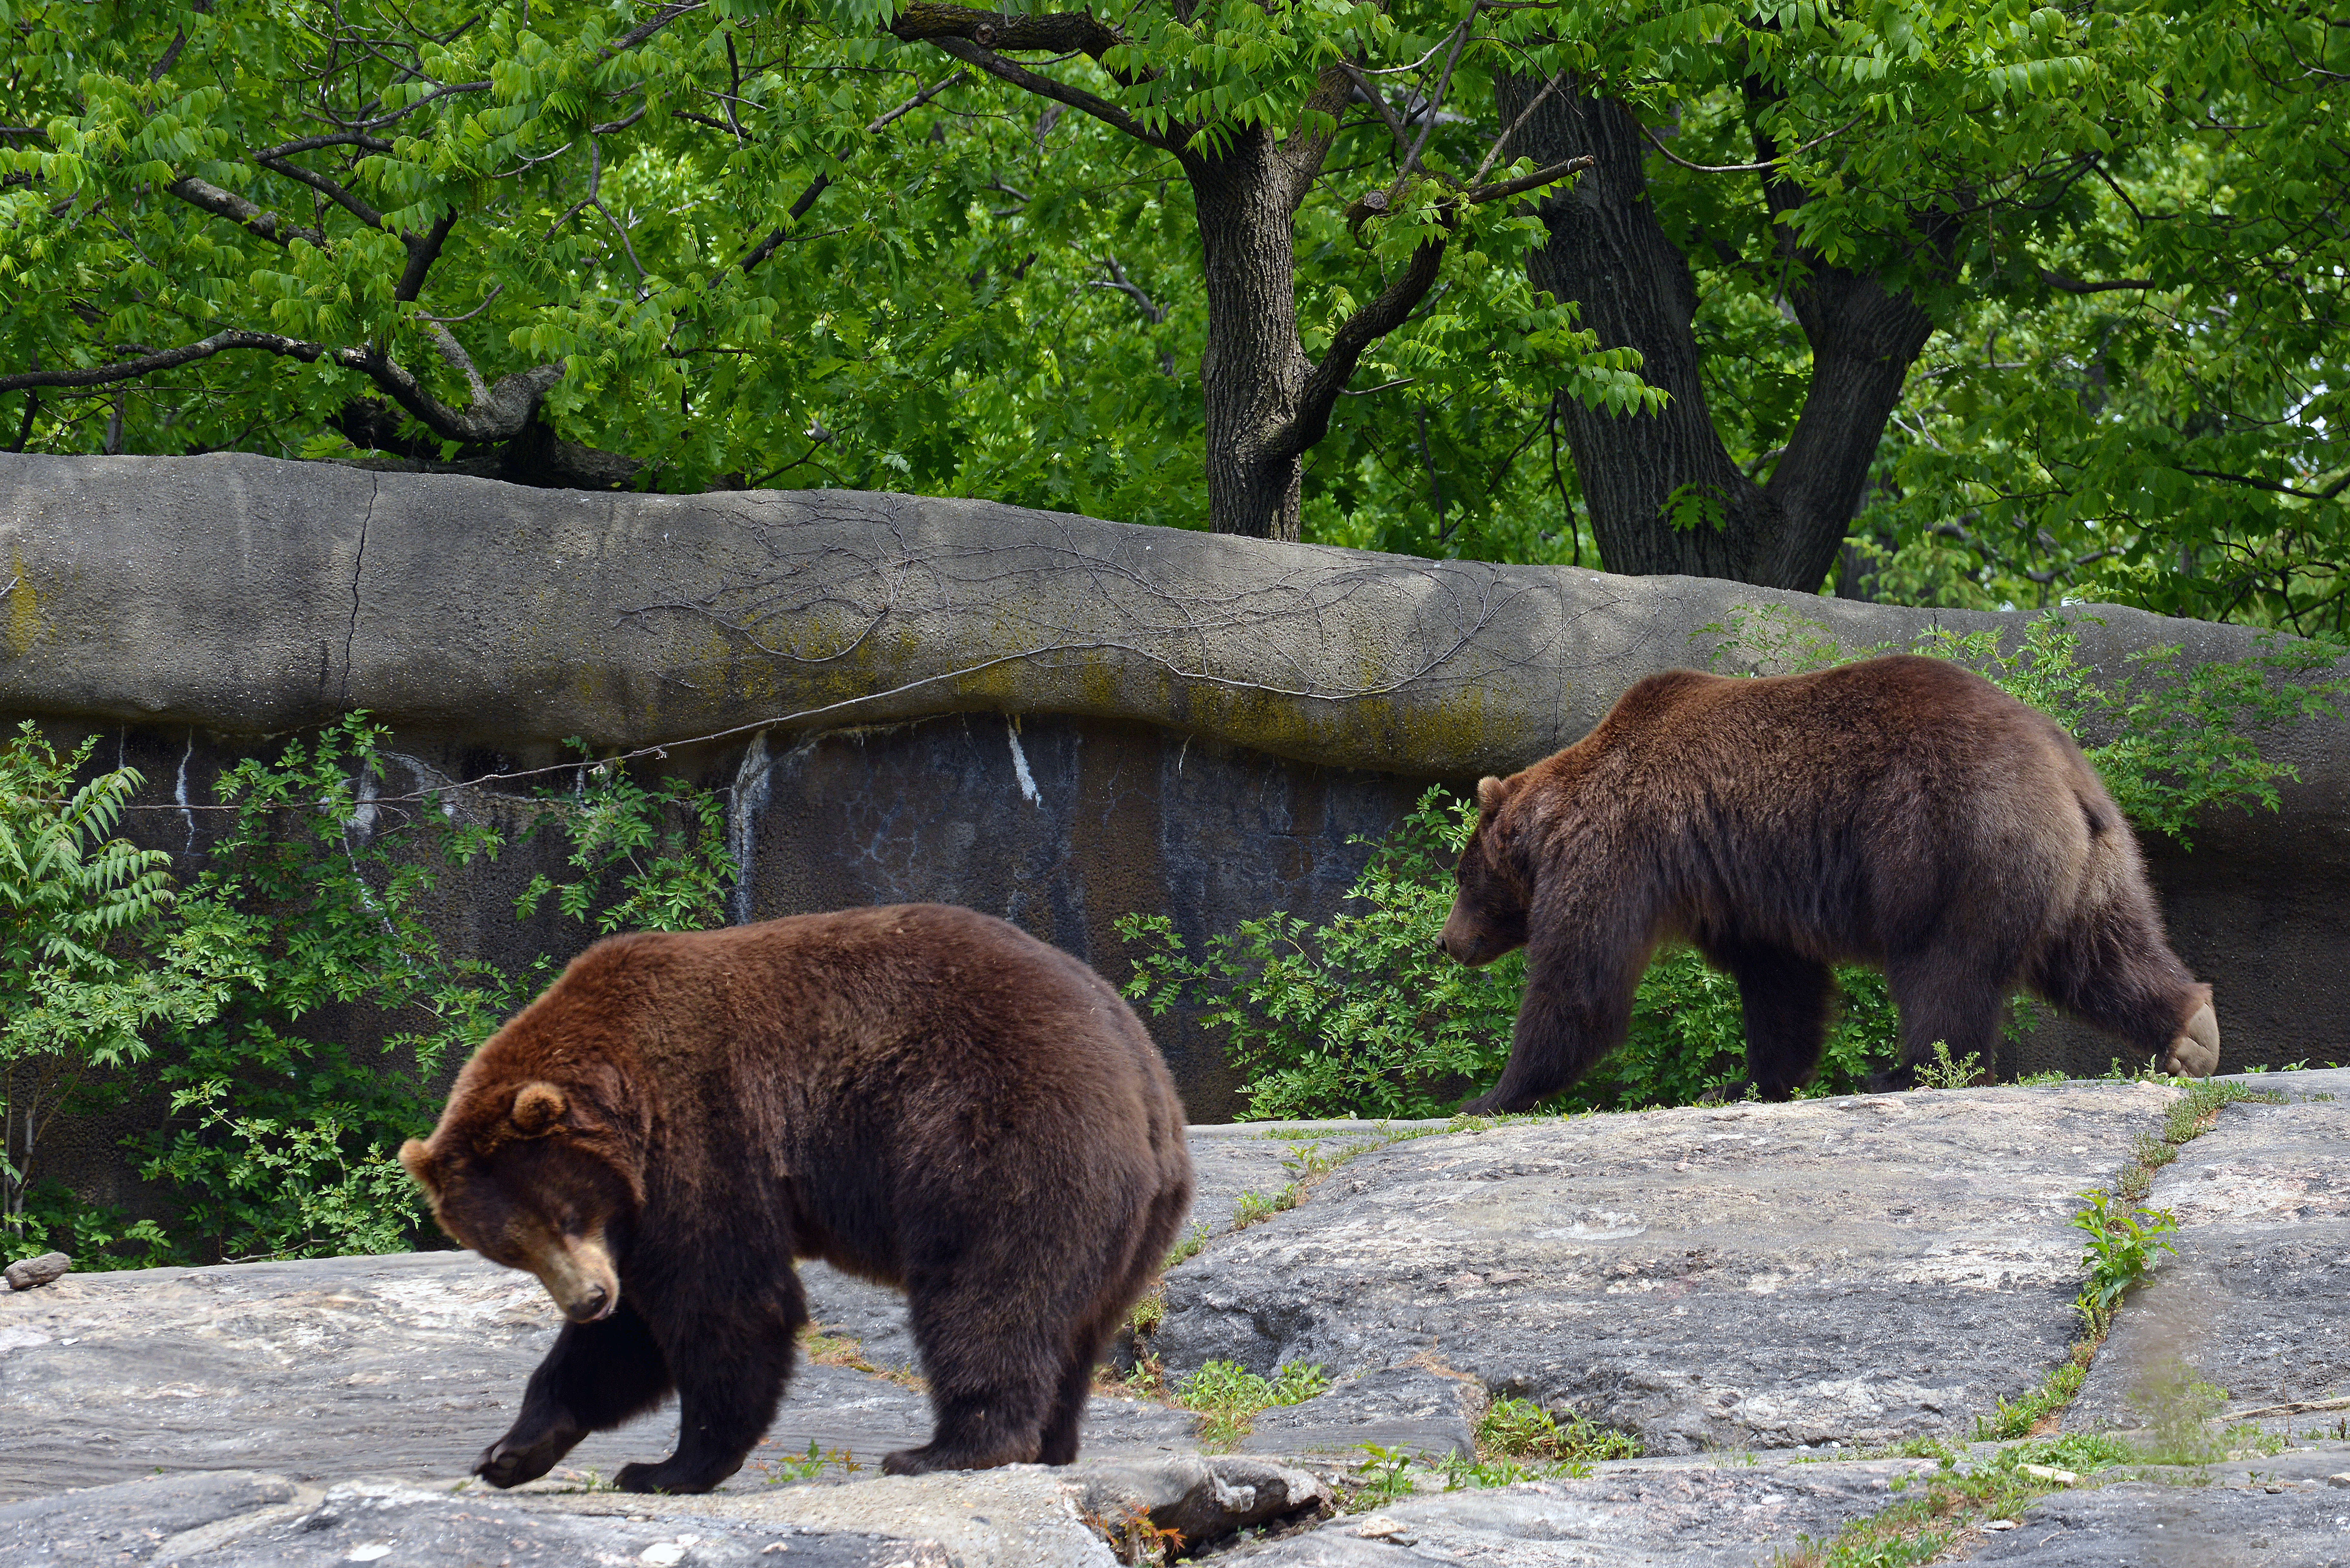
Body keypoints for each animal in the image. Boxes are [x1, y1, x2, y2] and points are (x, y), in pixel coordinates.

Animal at [395, 902, 1194, 1495]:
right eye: (511, 1249)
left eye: (565, 1213)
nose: (589, 1297)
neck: (627, 1101)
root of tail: (1144, 1077)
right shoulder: (633, 1220)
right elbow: (628, 1336)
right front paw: (509, 1449)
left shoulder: (701, 1137)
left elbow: (723, 1301)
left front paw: (664, 1465)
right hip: (1134, 1219)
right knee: (1077, 1323)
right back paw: (1051, 1442)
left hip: (998, 1138)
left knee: (985, 1292)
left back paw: (943, 1448)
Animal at [1429, 658, 2218, 1109]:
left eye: (1462, 874)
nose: (1446, 941)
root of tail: (2065, 772)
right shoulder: (1745, 890)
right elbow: (1781, 984)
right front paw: (1745, 1081)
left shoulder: (1616, 850)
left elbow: (1580, 980)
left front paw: (1489, 1094)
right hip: (2090, 862)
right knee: (2100, 949)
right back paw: (2189, 1032)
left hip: (1948, 841)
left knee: (1944, 967)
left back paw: (1906, 1071)